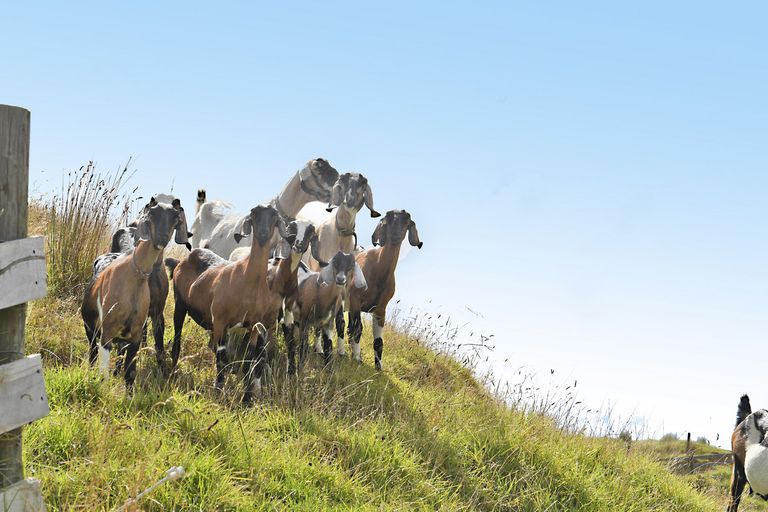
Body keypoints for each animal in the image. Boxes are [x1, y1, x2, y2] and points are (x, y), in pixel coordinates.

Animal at [81, 198, 190, 390]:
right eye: (152, 213)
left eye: (175, 217)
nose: (161, 238)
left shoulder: (156, 313)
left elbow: (159, 345)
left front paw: (163, 373)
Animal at [346, 210, 424, 370]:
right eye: (387, 219)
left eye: (407, 222)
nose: (395, 235)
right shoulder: (355, 300)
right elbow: (358, 330)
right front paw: (357, 358)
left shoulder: (381, 309)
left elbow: (378, 342)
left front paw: (379, 367)